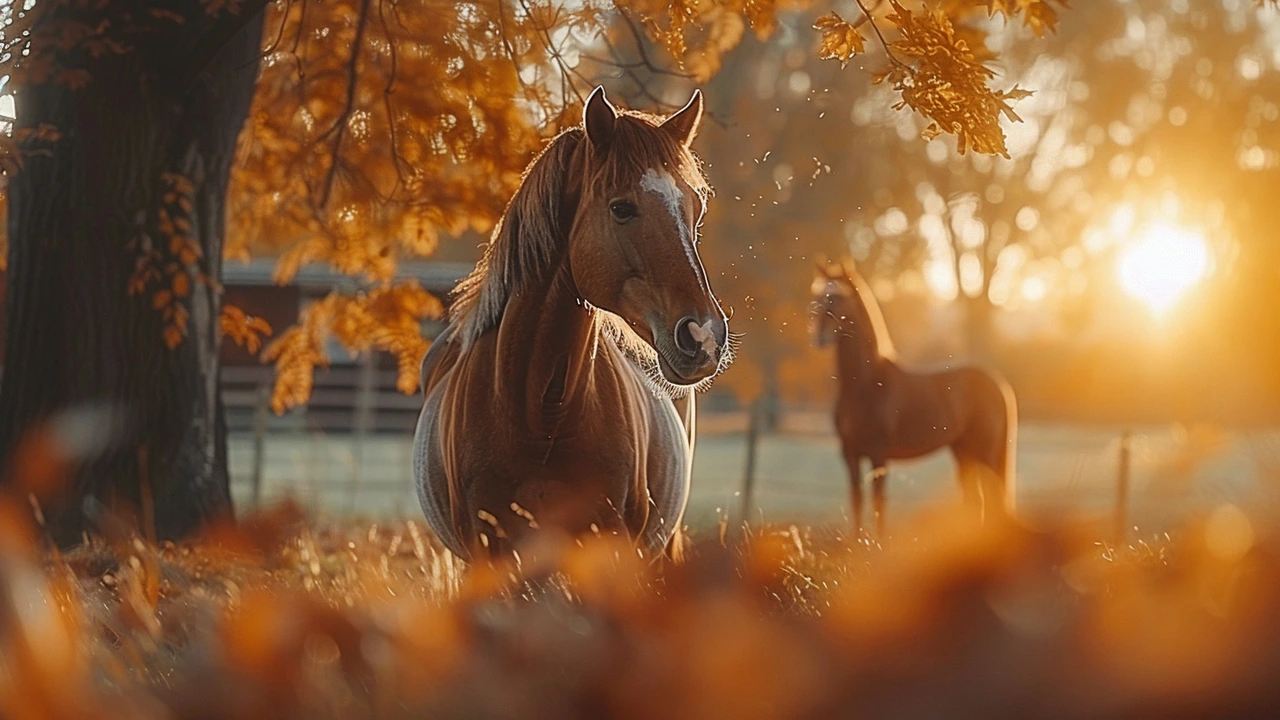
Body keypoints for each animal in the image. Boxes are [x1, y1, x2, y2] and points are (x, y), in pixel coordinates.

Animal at [808, 257, 1018, 532]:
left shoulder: (878, 455)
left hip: (986, 453)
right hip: (963, 452)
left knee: (993, 501)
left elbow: (878, 504)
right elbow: (857, 502)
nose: (819, 337)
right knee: (976, 502)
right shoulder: (850, 454)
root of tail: (998, 384)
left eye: (839, 298)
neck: (864, 386)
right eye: (818, 295)